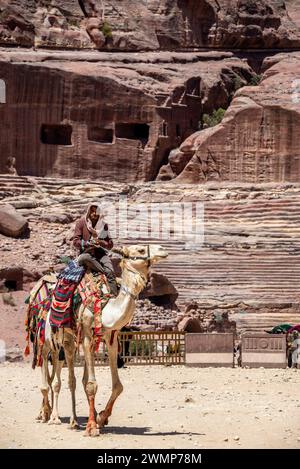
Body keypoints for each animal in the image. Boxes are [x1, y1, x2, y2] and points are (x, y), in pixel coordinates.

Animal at [29, 245, 168, 436]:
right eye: (140, 250)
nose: (163, 249)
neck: (105, 306)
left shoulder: (110, 338)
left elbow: (117, 386)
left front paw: (101, 417)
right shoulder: (87, 337)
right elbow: (90, 384)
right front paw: (91, 426)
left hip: (67, 341)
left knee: (66, 377)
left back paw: (68, 419)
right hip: (47, 339)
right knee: (49, 377)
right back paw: (51, 416)